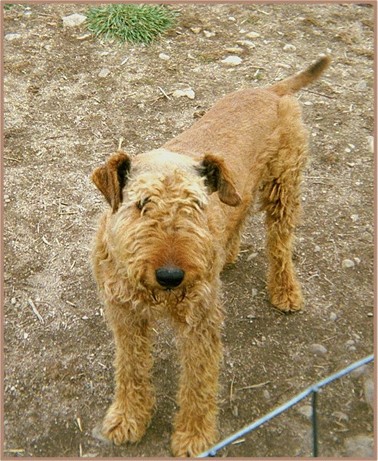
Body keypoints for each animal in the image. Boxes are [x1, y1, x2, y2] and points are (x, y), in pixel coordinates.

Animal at [90, 55, 330, 454]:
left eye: (196, 205)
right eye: (142, 203)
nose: (171, 276)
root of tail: (271, 90)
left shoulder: (199, 321)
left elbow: (198, 381)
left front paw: (193, 435)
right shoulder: (125, 316)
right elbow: (131, 368)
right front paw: (128, 418)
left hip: (284, 186)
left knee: (280, 245)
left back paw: (285, 291)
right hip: (244, 187)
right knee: (240, 214)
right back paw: (227, 256)